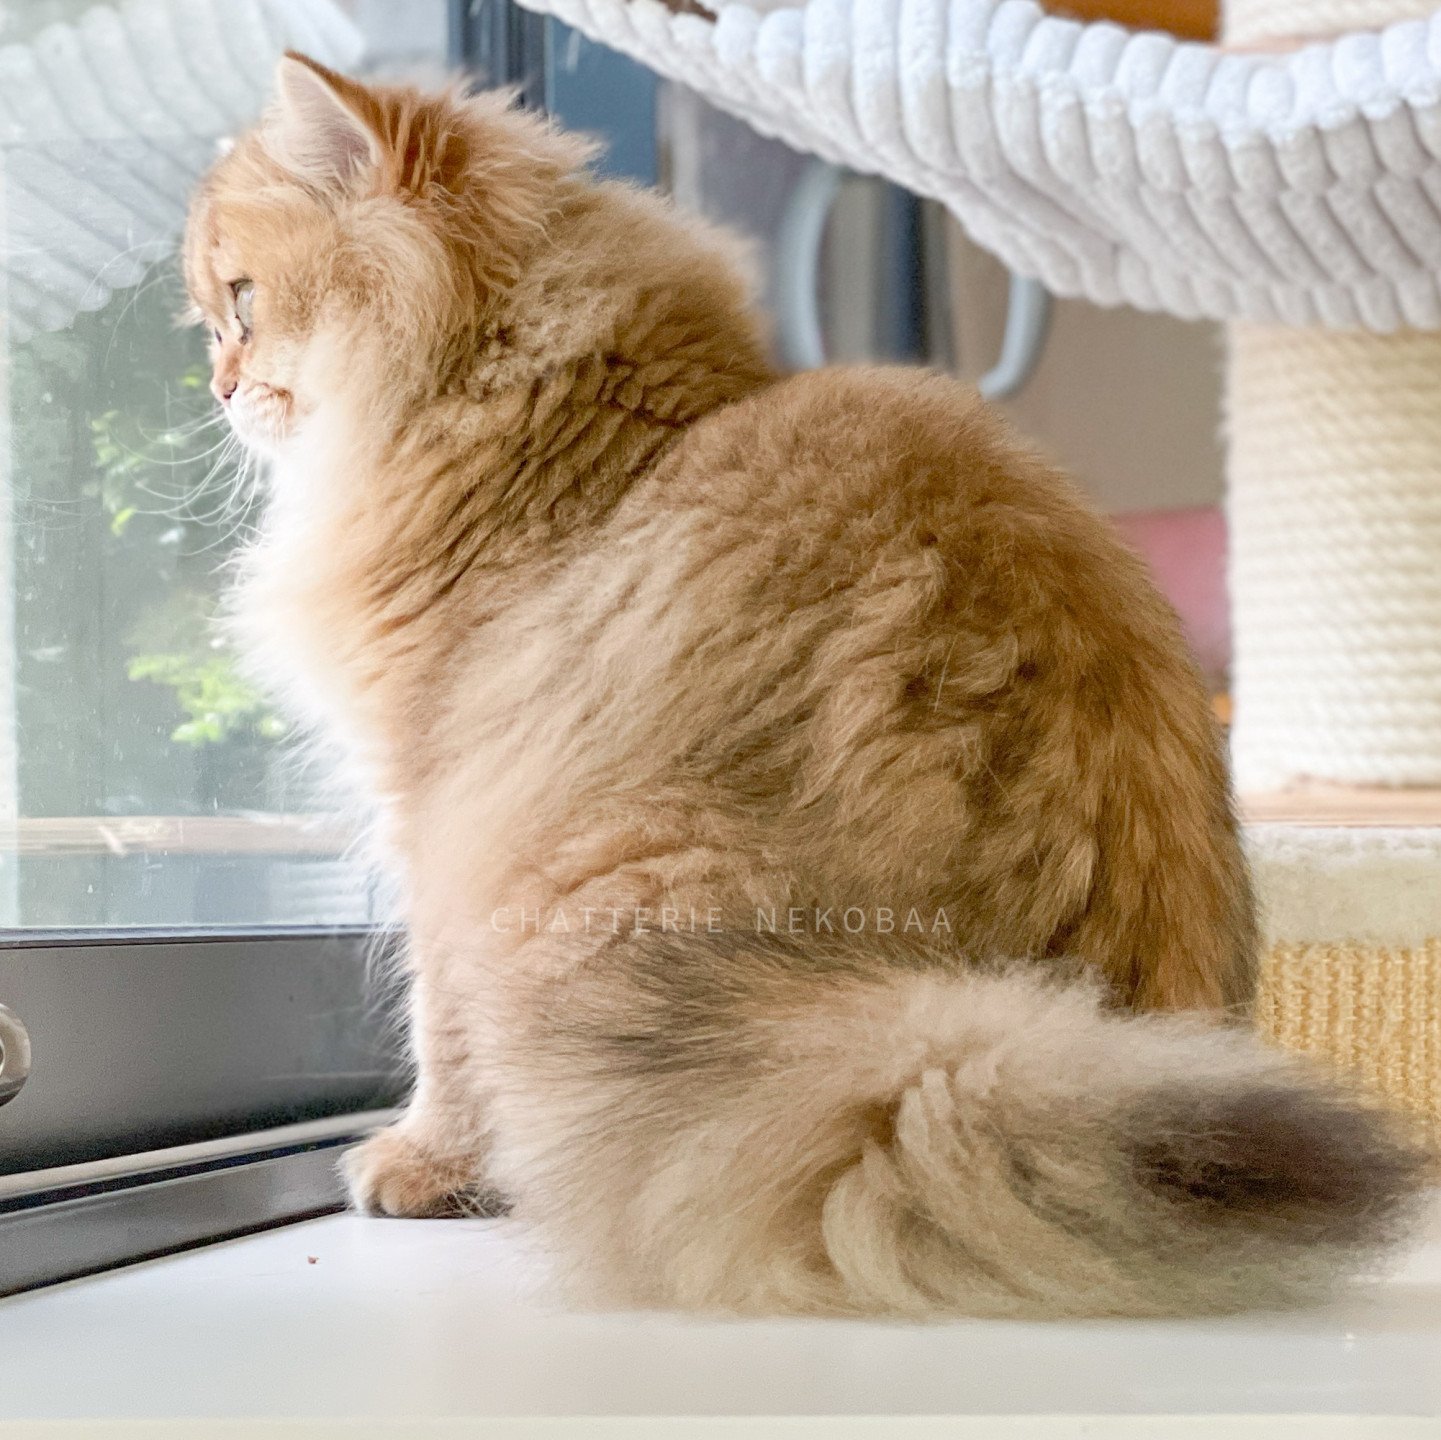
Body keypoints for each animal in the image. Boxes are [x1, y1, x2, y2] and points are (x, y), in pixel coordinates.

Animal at [183, 53, 1429, 1320]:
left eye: (241, 302)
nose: (221, 384)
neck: (572, 422)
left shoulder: (437, 816)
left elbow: (439, 1034)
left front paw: (422, 1164)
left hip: (583, 883)